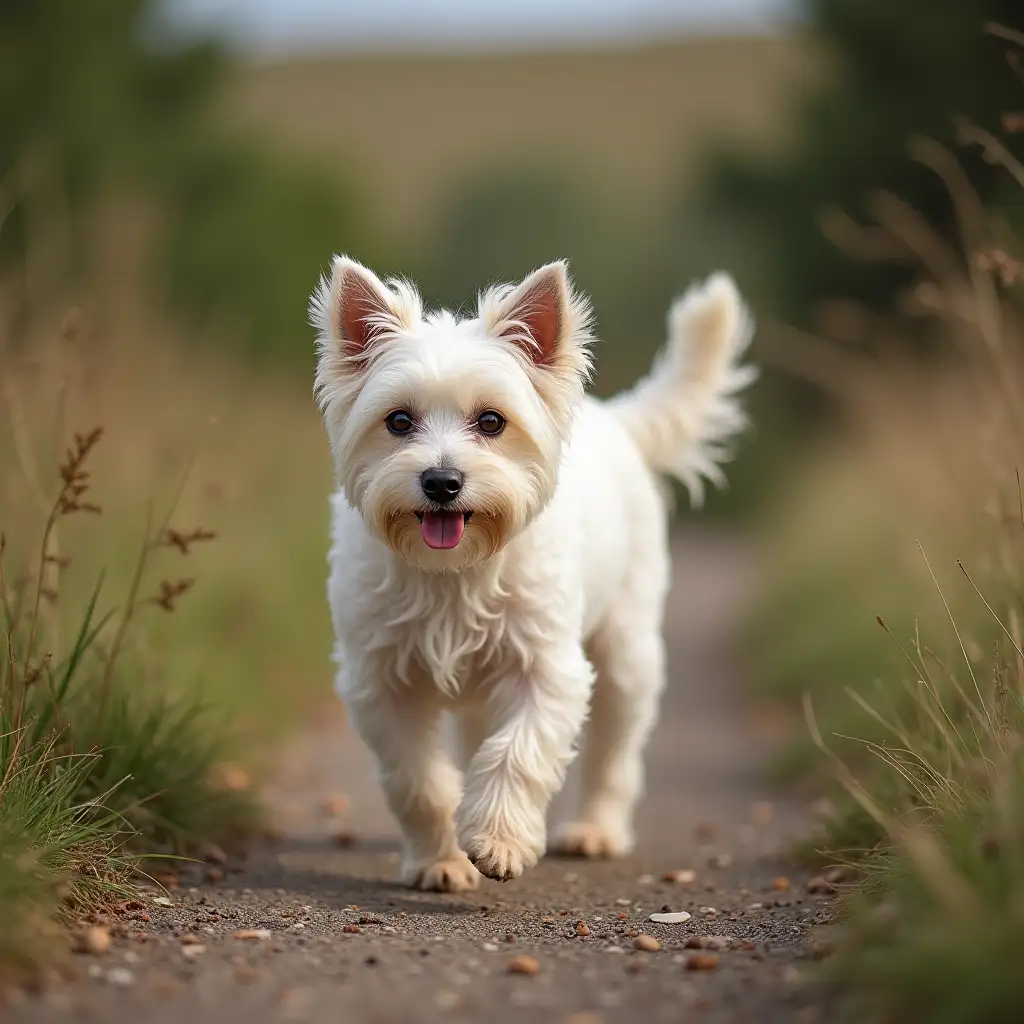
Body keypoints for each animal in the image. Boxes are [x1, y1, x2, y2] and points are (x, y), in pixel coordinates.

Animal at [309, 260, 753, 892]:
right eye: (398, 420)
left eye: (492, 421)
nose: (442, 481)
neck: (455, 572)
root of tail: (614, 417)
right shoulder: (382, 682)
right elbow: (418, 780)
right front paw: (439, 860)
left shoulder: (545, 669)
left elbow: (517, 753)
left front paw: (498, 841)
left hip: (627, 656)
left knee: (613, 754)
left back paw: (594, 829)